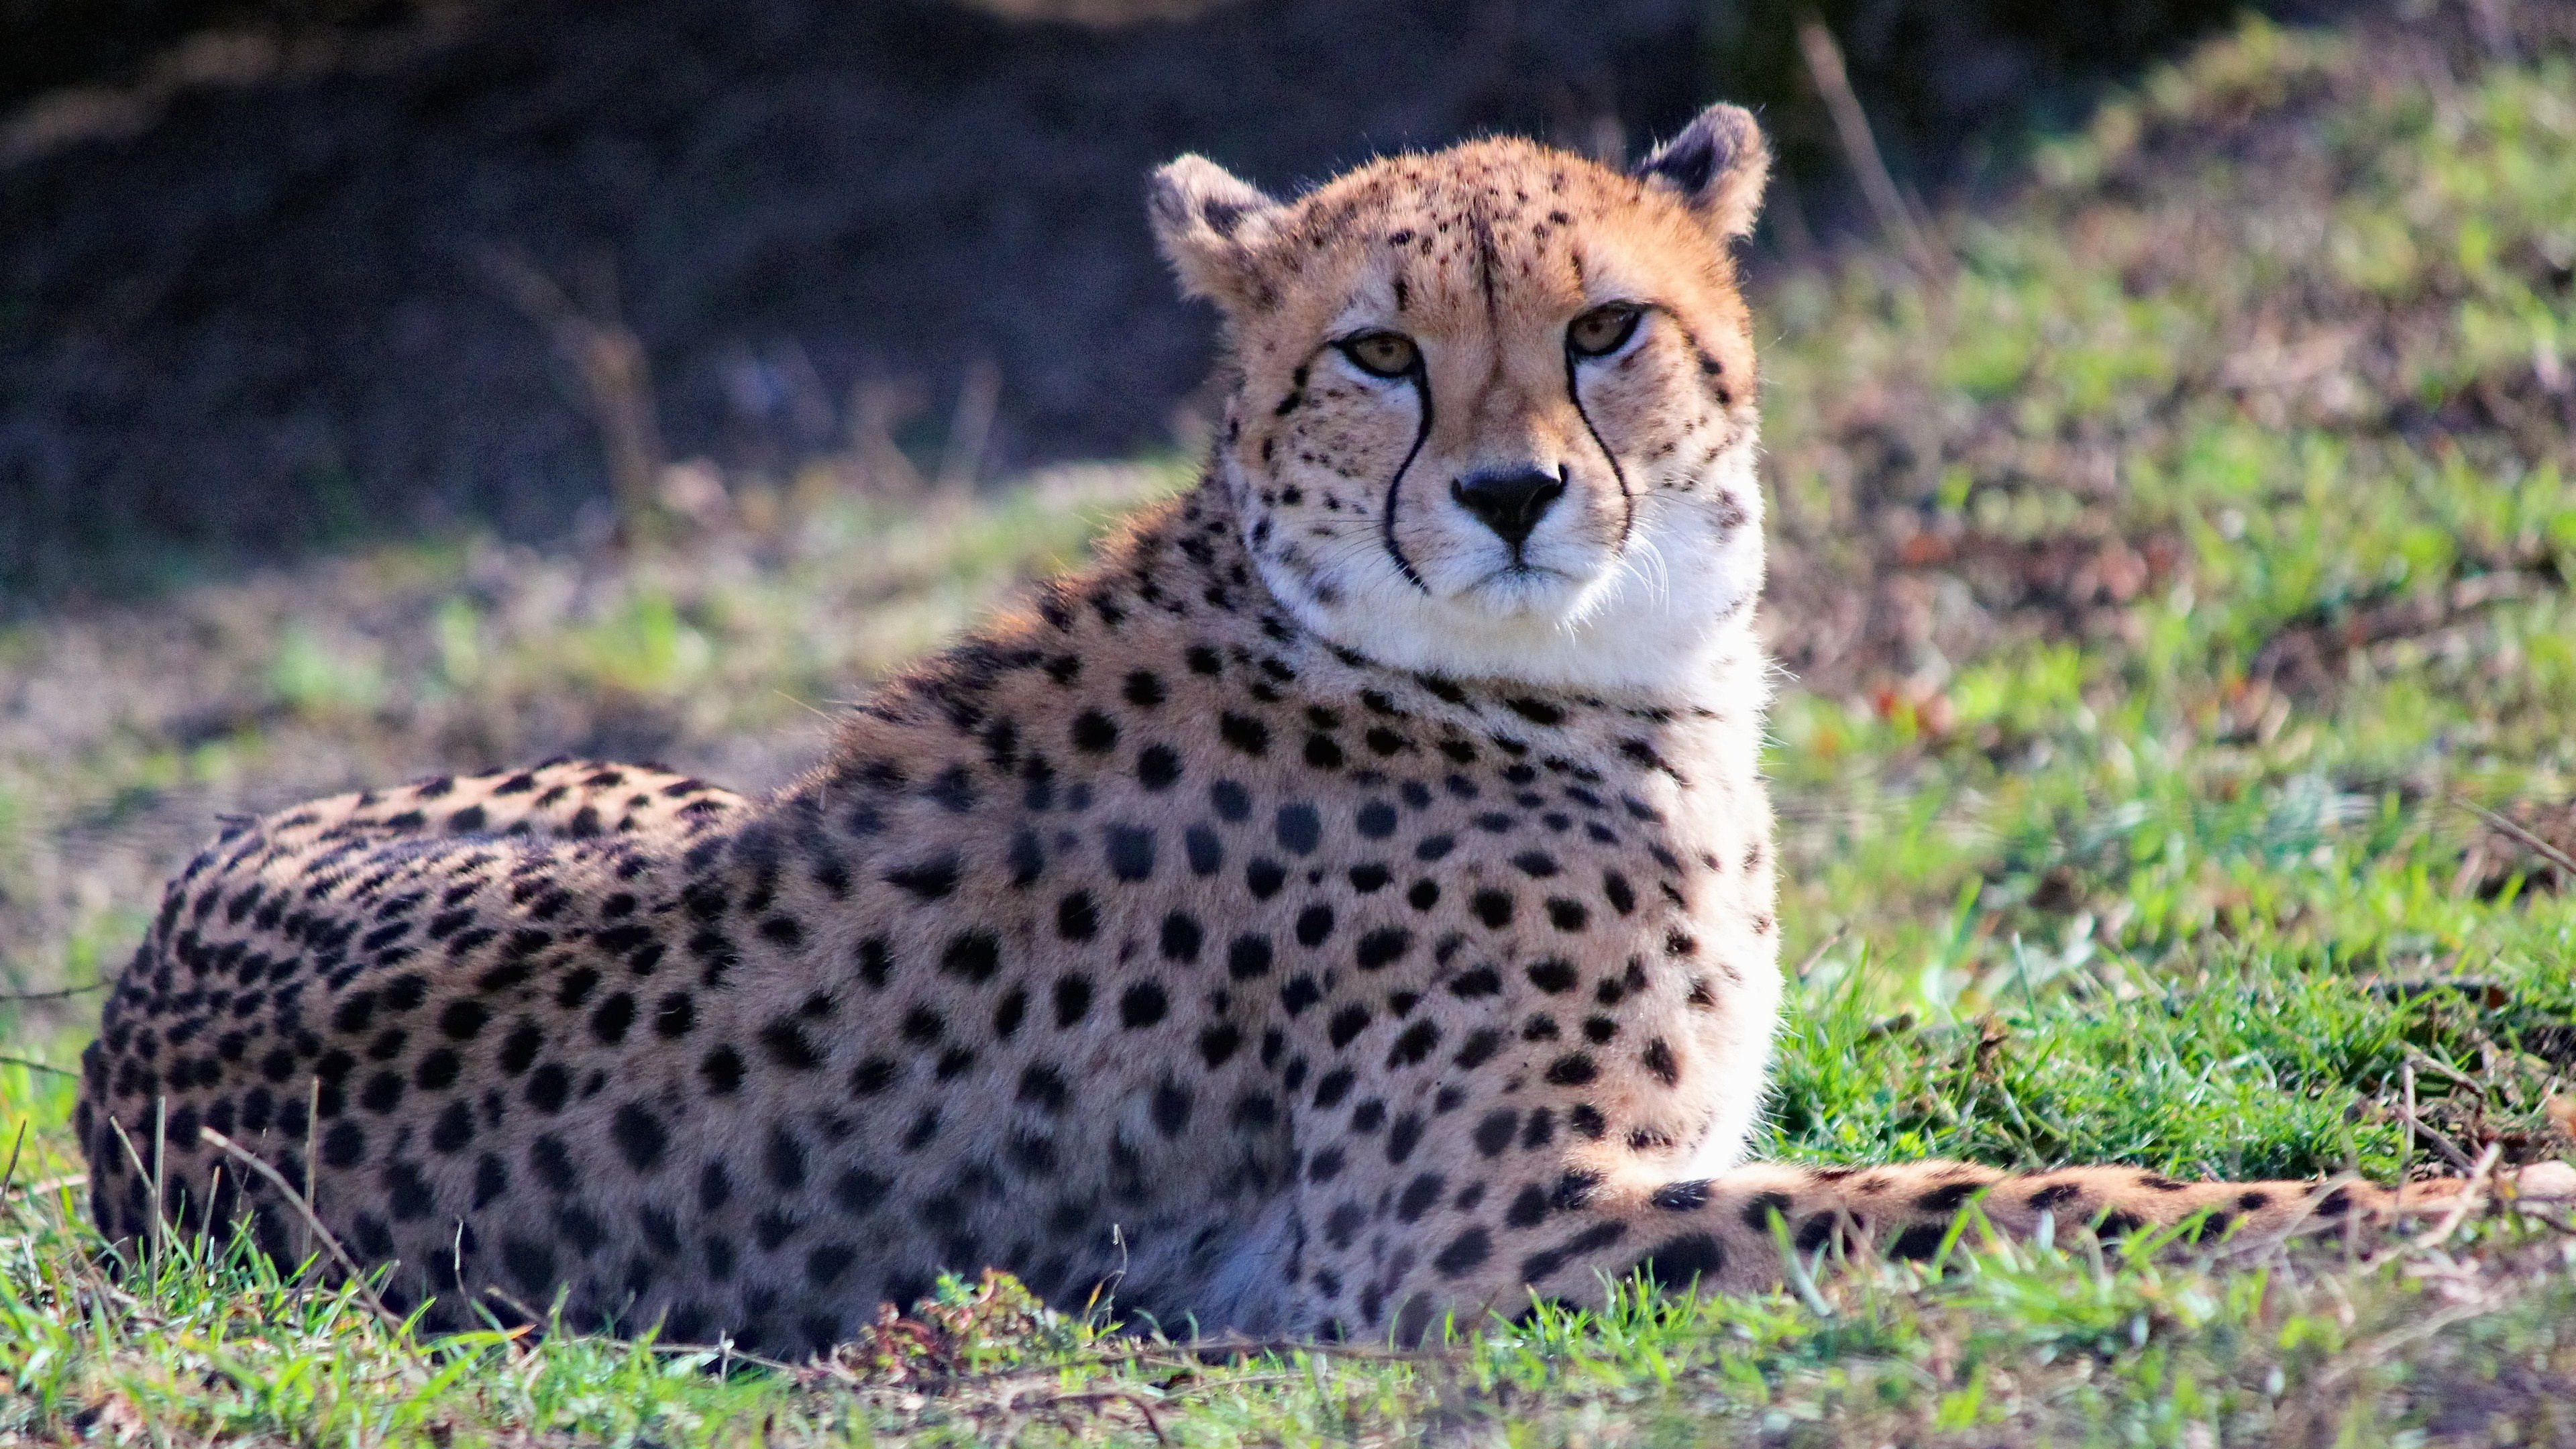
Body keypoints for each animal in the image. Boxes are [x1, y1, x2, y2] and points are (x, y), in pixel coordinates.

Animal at [70, 107, 2565, 1350]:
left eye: (1602, 327)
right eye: (1378, 351)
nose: (1511, 490)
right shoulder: (1462, 1232)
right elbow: (2018, 1200)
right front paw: (2450, 1204)